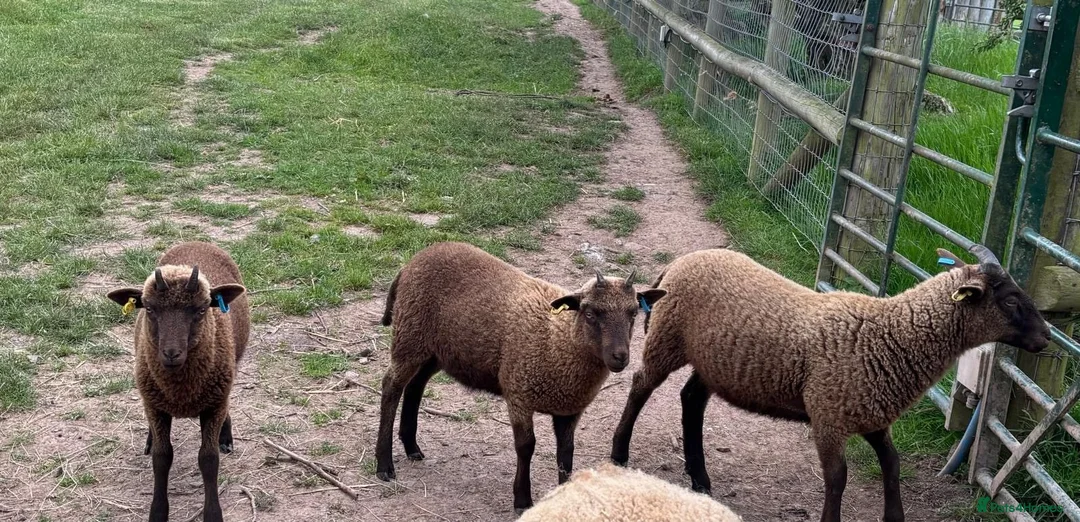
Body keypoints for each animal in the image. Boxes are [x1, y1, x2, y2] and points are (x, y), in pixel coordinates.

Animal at [106, 241, 250, 522]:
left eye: (202, 310)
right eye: (149, 309)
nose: (171, 353)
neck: (181, 390)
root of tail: (195, 241)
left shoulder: (213, 404)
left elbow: (208, 460)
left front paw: (213, 514)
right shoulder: (155, 405)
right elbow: (162, 458)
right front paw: (158, 512)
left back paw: (225, 436)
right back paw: (150, 438)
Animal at [374, 241, 667, 513]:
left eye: (633, 313)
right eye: (590, 313)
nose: (620, 357)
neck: (559, 339)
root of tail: (415, 259)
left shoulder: (570, 409)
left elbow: (566, 454)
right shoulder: (519, 394)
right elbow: (526, 447)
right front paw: (522, 500)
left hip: (436, 350)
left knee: (415, 386)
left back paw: (411, 447)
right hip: (409, 335)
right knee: (391, 387)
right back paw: (384, 465)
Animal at [610, 245, 1050, 522]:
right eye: (1011, 300)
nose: (1046, 338)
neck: (891, 335)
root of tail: (678, 264)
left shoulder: (872, 414)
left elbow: (892, 464)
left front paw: (894, 517)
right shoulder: (829, 416)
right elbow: (837, 478)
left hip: (714, 362)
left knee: (691, 399)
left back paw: (700, 479)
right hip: (667, 339)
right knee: (640, 386)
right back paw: (619, 454)